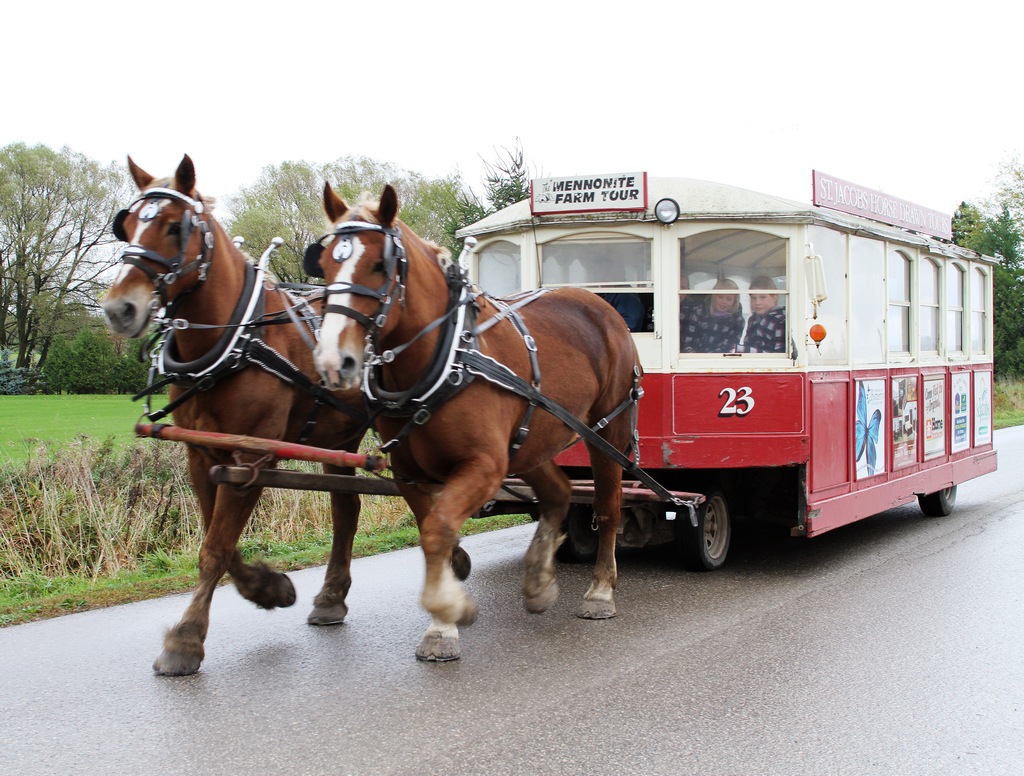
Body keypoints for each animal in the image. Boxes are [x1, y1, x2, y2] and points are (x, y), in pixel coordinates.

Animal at [99, 156, 370, 675]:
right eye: (128, 224)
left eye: (174, 226)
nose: (120, 308)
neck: (235, 341)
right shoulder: (204, 456)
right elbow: (216, 542)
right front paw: (268, 588)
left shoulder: (250, 459)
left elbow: (216, 548)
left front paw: (185, 639)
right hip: (341, 438)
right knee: (347, 509)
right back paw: (331, 597)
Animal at [309, 184, 638, 663]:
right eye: (328, 261)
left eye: (379, 265)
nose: (335, 361)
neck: (443, 359)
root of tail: (599, 303)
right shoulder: (411, 474)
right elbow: (435, 536)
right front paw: (443, 620)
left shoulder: (483, 466)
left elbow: (439, 531)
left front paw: (448, 614)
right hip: (530, 439)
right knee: (558, 493)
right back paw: (538, 580)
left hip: (605, 430)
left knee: (608, 507)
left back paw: (600, 591)